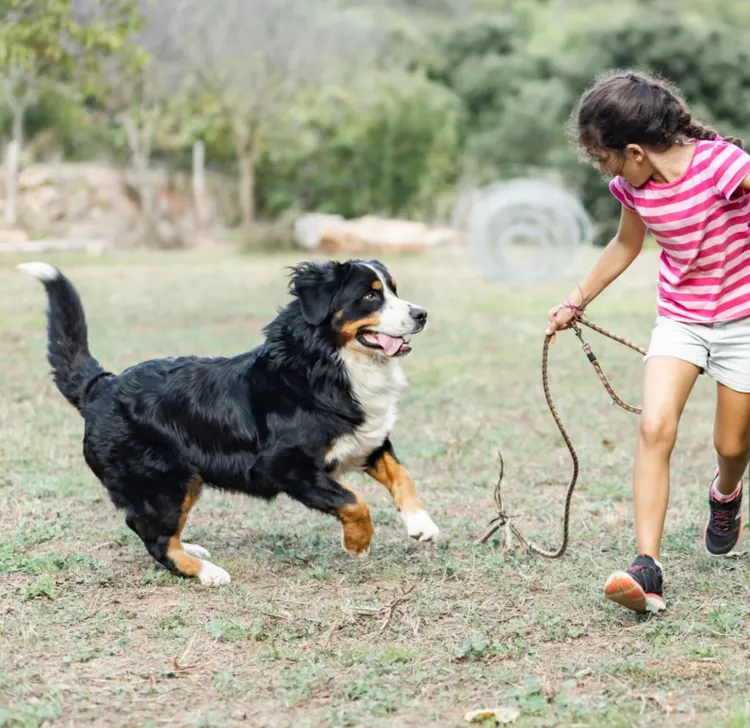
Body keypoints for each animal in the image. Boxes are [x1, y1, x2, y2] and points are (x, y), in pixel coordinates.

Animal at [19, 258, 440, 584]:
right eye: (370, 295)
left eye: (394, 290)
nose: (422, 314)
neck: (327, 364)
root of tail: (101, 387)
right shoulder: (284, 465)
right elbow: (353, 501)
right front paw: (358, 543)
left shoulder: (367, 441)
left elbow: (402, 475)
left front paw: (421, 524)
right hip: (163, 480)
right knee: (153, 536)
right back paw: (205, 572)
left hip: (185, 479)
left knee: (156, 529)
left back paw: (191, 548)